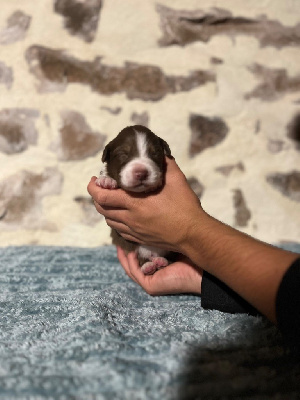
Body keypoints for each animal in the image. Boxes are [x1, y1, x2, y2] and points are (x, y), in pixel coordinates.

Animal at [95, 125, 172, 276]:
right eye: (123, 154)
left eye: (155, 153)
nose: (141, 173)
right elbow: (105, 172)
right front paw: (106, 180)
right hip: (131, 247)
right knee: (141, 258)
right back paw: (150, 265)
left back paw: (160, 262)